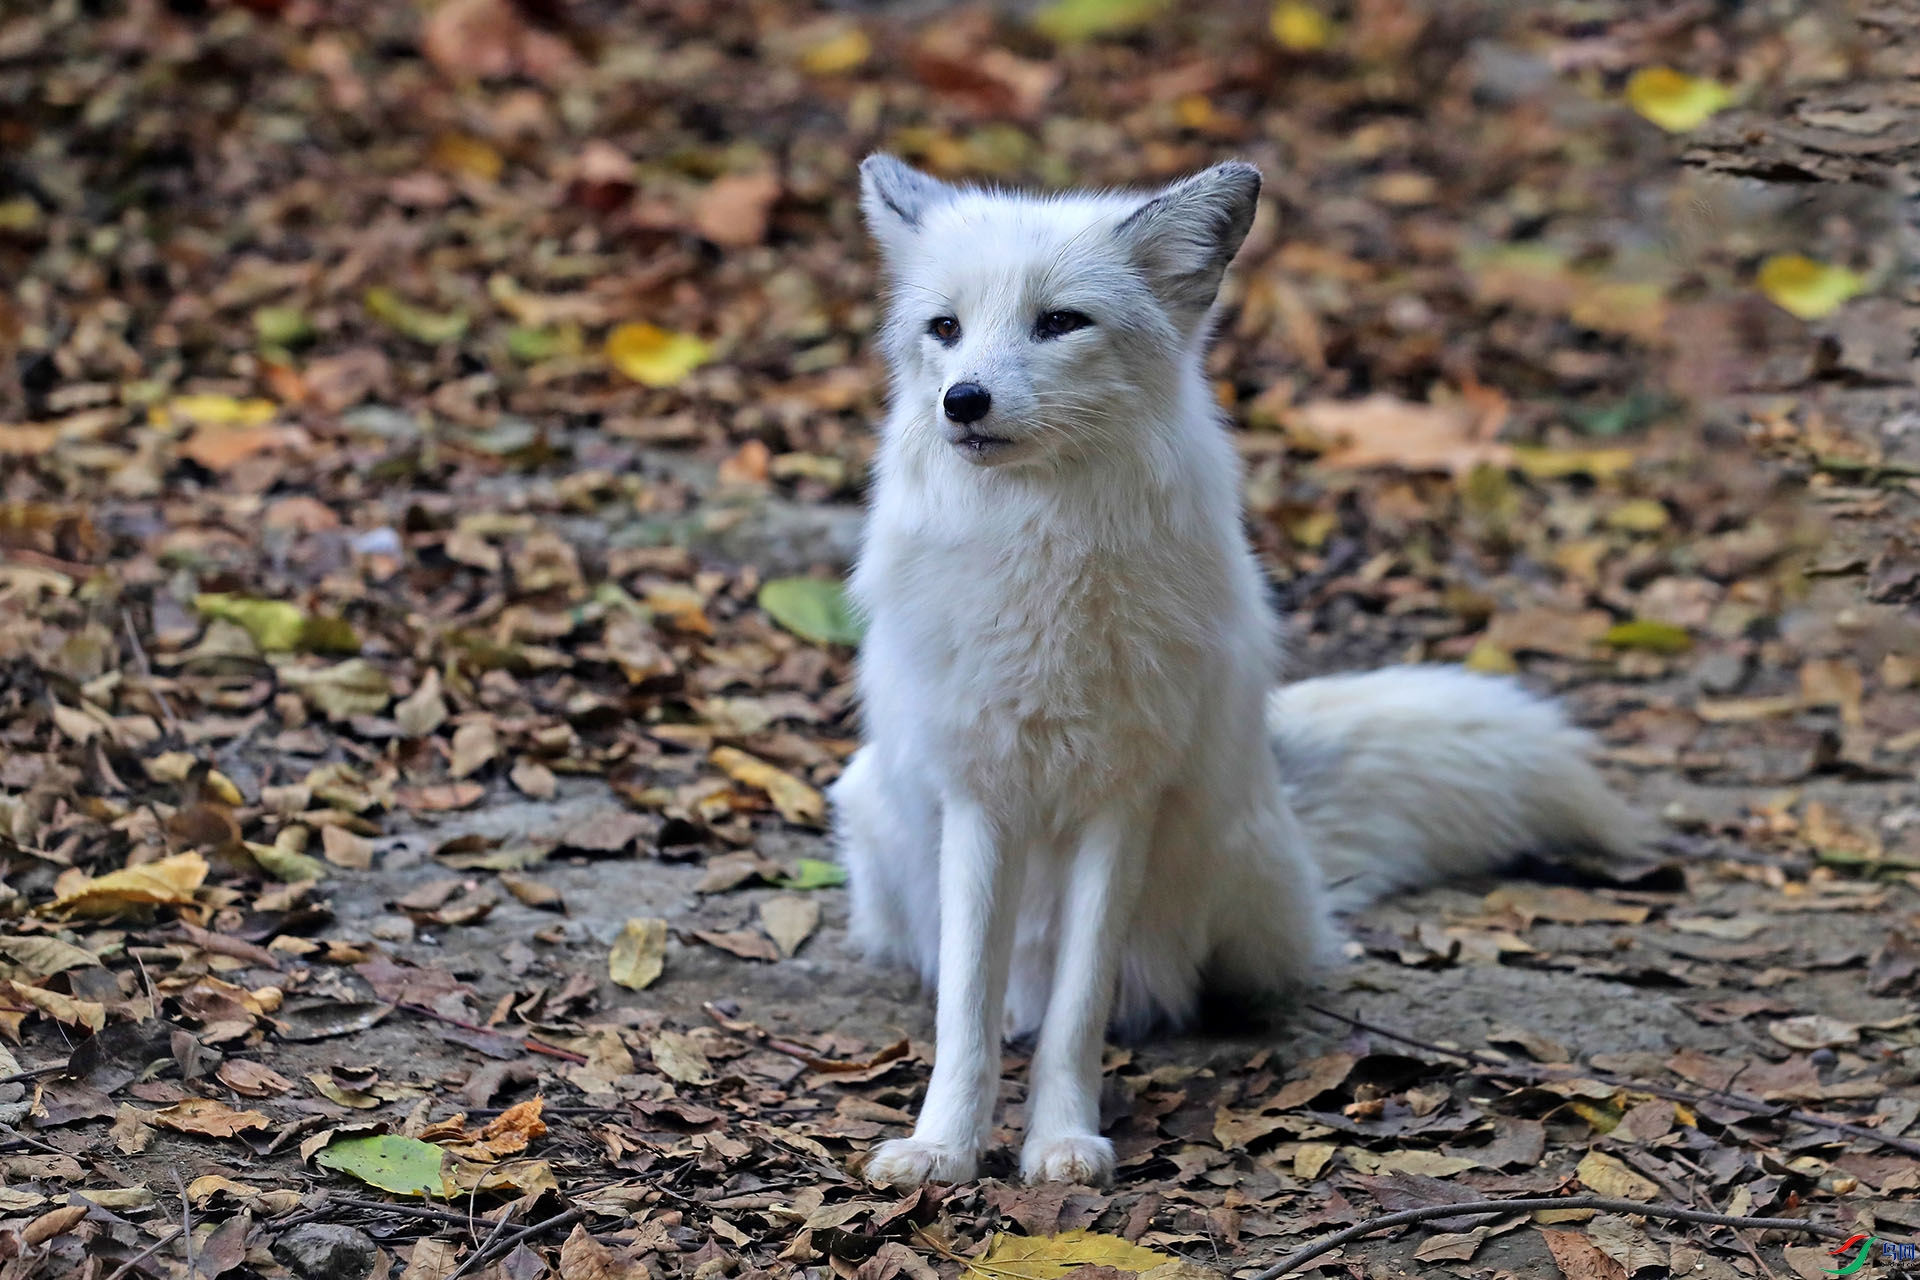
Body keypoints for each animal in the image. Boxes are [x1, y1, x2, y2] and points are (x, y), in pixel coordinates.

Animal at [825, 155, 1635, 1189]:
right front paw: (943, 1149)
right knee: (990, 989)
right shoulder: (979, 796)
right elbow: (964, 1011)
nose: (961, 402)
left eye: (1059, 323)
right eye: (945, 329)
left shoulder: (1122, 802)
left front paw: (1060, 1141)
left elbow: (1080, 1011)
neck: (1039, 555)